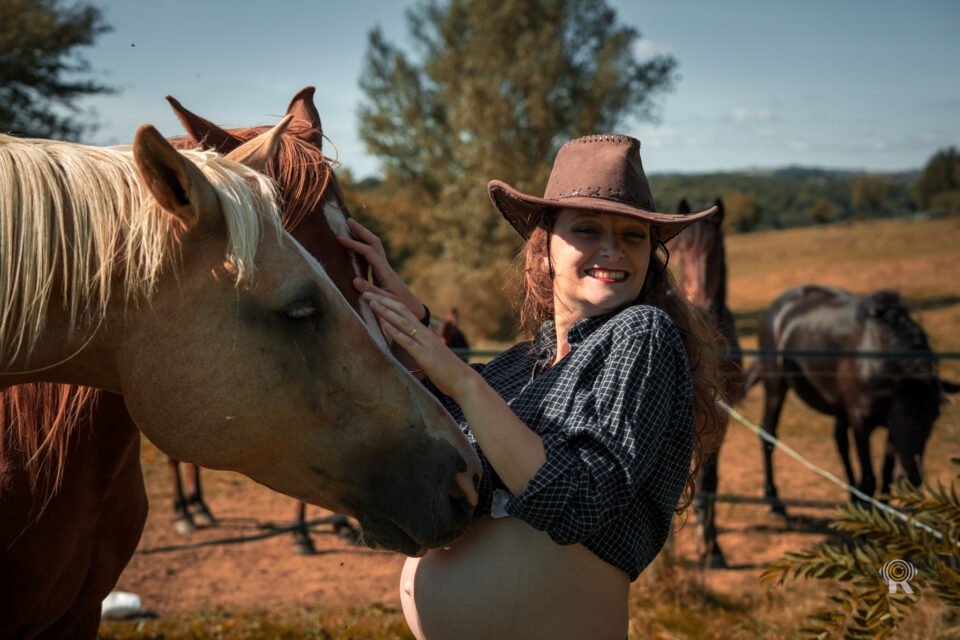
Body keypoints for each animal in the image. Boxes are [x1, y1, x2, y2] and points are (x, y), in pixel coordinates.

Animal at [744, 285, 960, 515]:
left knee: (840, 442)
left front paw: (882, 514)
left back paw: (852, 496)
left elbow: (885, 473)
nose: (911, 479)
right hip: (775, 385)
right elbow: (869, 477)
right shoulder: (862, 421)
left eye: (934, 417)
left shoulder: (886, 423)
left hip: (839, 407)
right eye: (904, 414)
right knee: (768, 434)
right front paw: (868, 510)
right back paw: (774, 500)